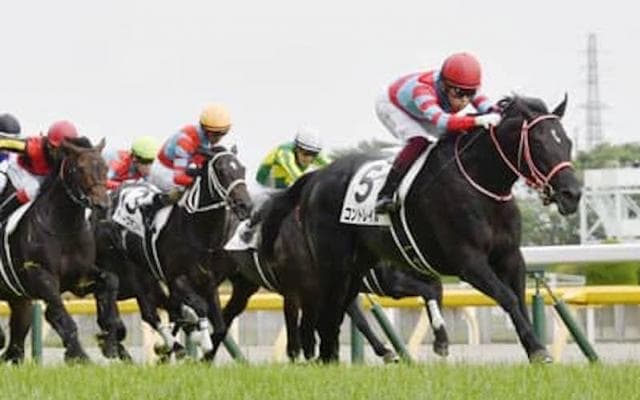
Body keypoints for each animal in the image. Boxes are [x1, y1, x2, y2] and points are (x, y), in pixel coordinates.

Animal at [0, 137, 119, 363]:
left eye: (105, 167)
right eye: (79, 168)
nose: (102, 205)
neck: (63, 228)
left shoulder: (79, 279)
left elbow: (109, 281)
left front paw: (110, 335)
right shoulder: (42, 276)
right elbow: (59, 314)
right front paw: (78, 355)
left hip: (19, 300)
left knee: (16, 342)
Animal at [95, 145, 252, 358]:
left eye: (242, 169)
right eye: (221, 170)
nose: (245, 205)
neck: (195, 230)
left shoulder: (208, 282)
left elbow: (218, 327)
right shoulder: (177, 279)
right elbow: (199, 307)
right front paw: (201, 340)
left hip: (147, 276)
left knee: (160, 308)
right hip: (129, 270)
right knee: (148, 313)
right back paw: (167, 345)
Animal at [261, 95, 582, 362]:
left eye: (566, 142)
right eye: (538, 143)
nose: (572, 194)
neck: (481, 185)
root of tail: (315, 177)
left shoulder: (511, 257)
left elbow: (518, 299)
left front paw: (533, 347)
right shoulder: (468, 262)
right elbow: (507, 297)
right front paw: (538, 350)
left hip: (356, 268)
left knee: (338, 311)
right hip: (332, 266)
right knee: (327, 312)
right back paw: (323, 357)